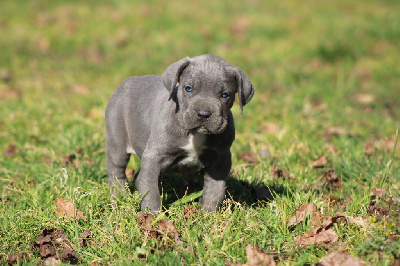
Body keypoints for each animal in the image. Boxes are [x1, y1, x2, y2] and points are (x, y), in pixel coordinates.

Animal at [105, 54, 253, 214]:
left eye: (225, 95)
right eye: (188, 88)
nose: (203, 113)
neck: (195, 135)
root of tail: (125, 82)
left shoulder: (220, 160)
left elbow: (215, 190)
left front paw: (208, 214)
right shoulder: (154, 156)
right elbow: (151, 191)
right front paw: (153, 216)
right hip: (117, 141)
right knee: (117, 171)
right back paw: (120, 197)